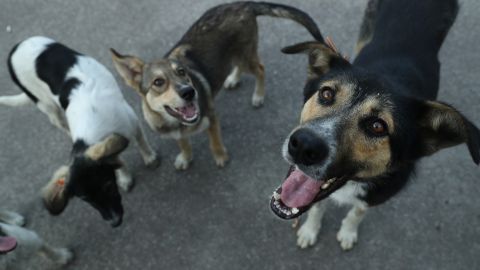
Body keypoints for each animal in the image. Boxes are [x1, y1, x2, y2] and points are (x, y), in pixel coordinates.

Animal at [0, 35, 160, 226]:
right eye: (85, 199)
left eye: (107, 186)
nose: (114, 222)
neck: (91, 134)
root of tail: (14, 50)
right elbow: (117, 158)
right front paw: (124, 176)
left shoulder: (131, 120)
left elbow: (140, 141)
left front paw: (149, 157)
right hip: (48, 108)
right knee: (60, 122)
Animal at [268, 0, 478, 251]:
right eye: (326, 94)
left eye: (378, 126)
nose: (303, 145)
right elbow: (317, 205)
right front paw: (310, 230)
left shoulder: (375, 197)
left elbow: (357, 212)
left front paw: (347, 232)